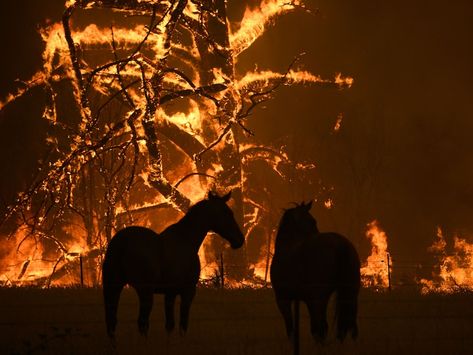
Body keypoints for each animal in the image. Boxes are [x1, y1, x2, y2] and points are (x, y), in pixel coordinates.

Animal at [102, 193, 243, 340]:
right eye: (227, 212)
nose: (240, 240)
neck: (185, 240)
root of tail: (121, 243)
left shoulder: (170, 293)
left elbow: (169, 325)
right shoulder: (188, 291)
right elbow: (182, 325)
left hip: (113, 287)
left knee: (112, 322)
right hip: (144, 291)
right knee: (142, 323)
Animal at [270, 203, 362, 344]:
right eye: (312, 221)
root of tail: (340, 243)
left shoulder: (284, 299)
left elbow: (292, 328)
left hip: (318, 297)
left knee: (321, 326)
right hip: (349, 293)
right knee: (348, 324)